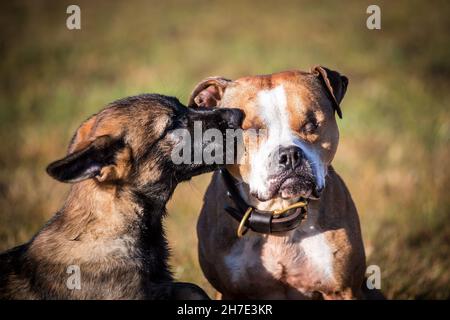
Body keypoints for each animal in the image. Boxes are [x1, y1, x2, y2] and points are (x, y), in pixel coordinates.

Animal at [188, 67, 378, 300]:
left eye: (311, 124)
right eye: (252, 130)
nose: (290, 155)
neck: (279, 210)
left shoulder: (343, 290)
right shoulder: (229, 292)